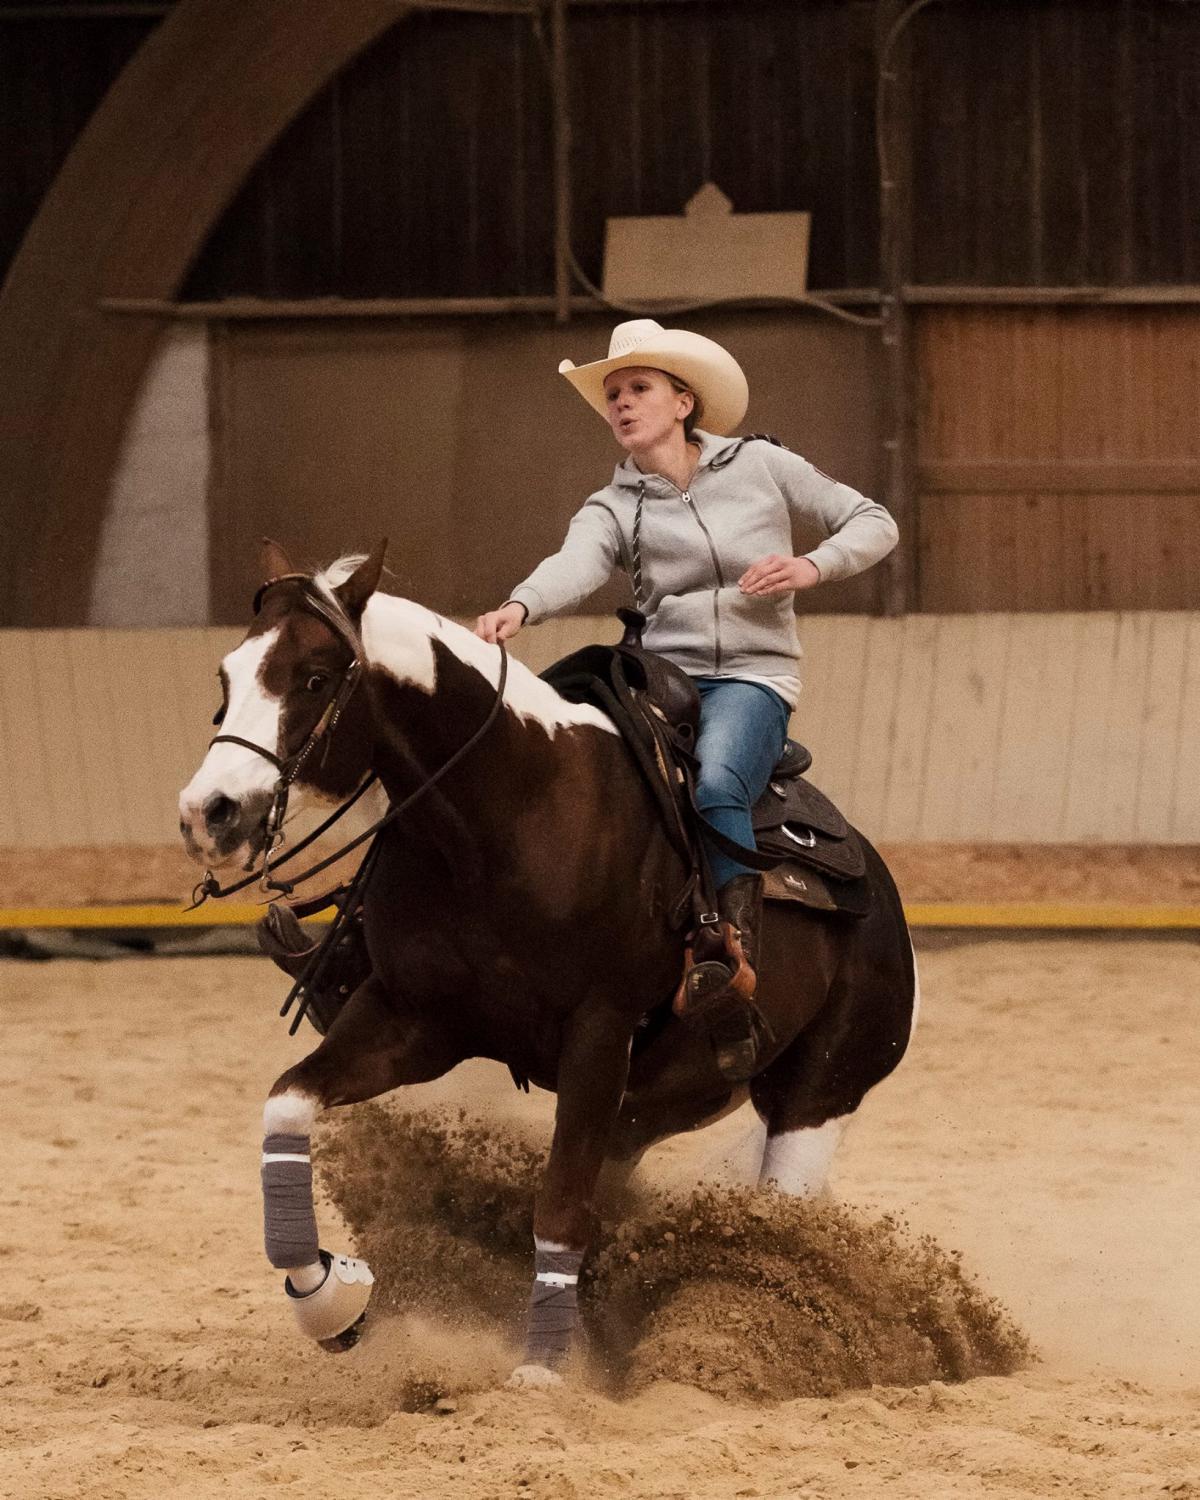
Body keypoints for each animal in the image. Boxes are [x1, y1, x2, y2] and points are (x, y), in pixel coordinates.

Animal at [175, 537, 918, 1380]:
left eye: (314, 677)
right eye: (226, 676)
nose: (209, 812)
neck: (504, 816)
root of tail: (877, 883)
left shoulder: (598, 1035)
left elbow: (560, 1208)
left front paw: (538, 1375)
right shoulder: (410, 1020)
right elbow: (287, 1104)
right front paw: (332, 1297)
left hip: (818, 1093)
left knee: (780, 1218)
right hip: (644, 1112)